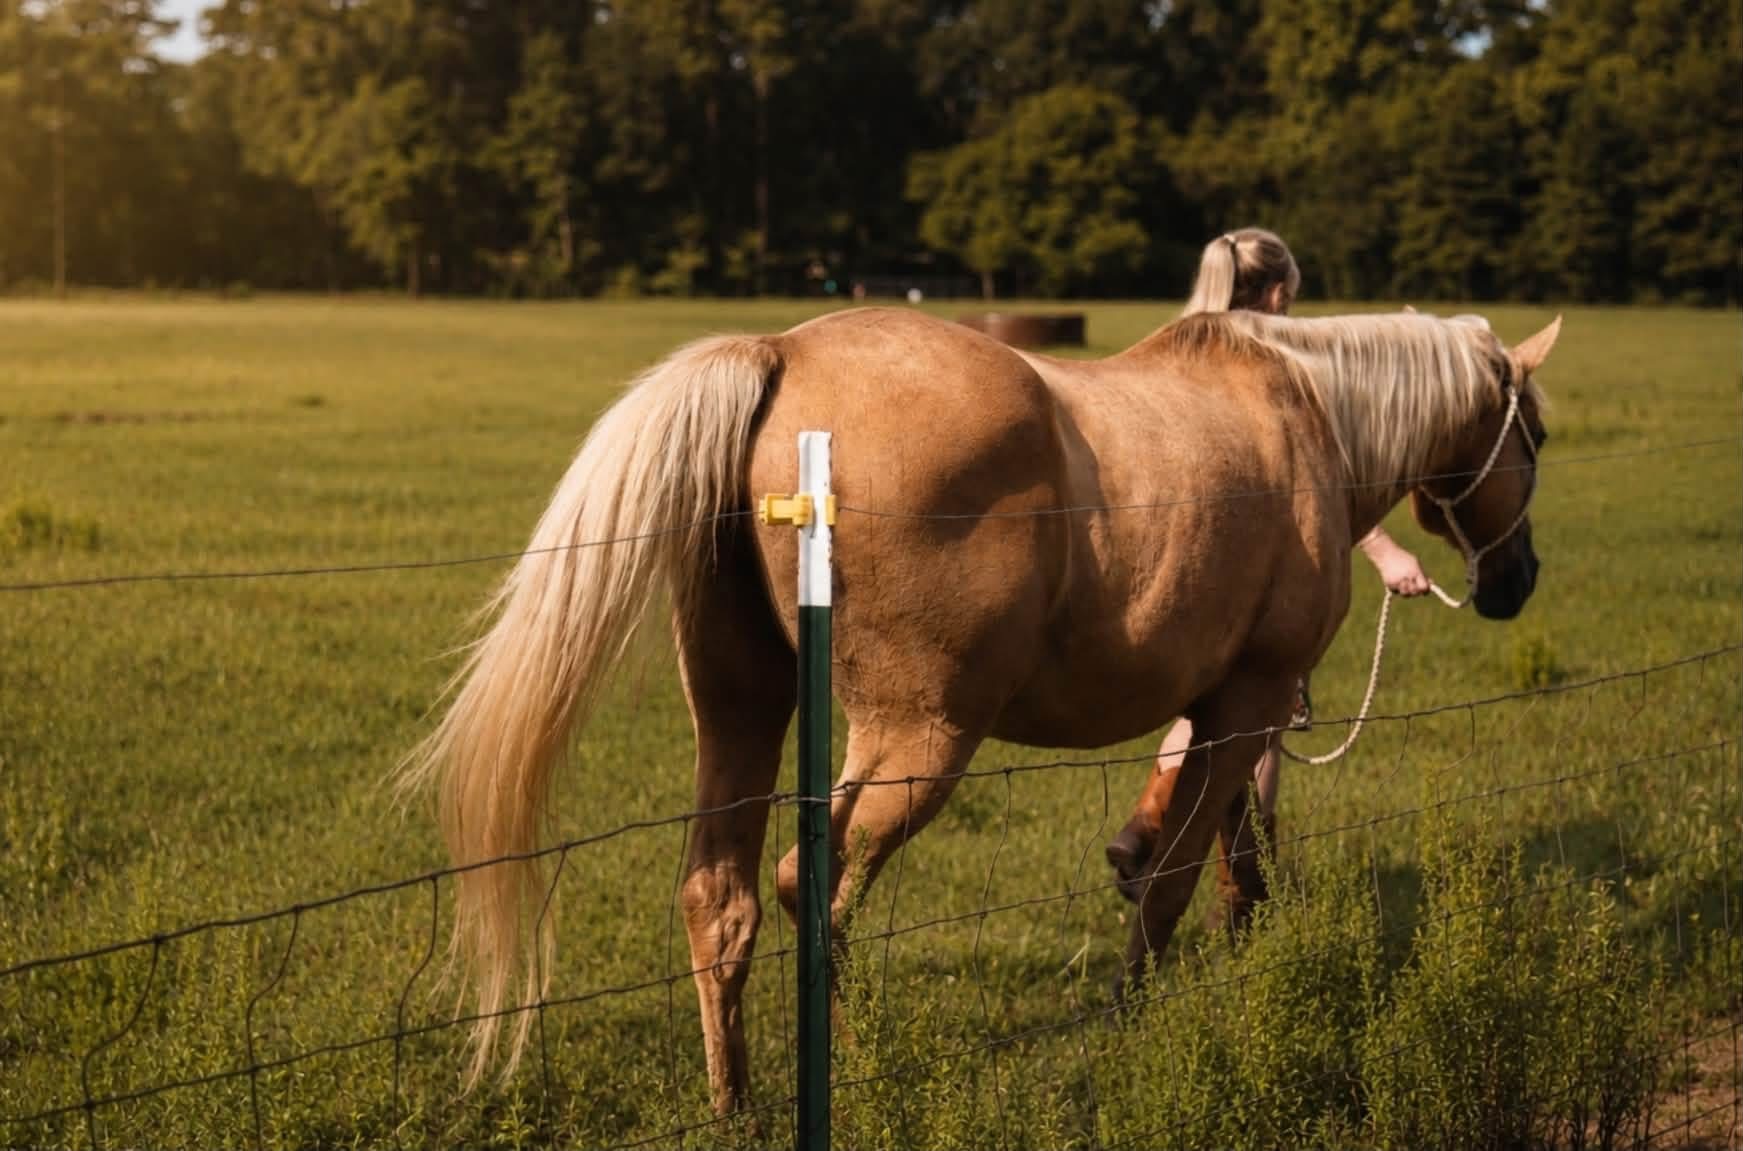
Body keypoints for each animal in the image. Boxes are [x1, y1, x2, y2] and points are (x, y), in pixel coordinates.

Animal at [401, 304, 1559, 1115]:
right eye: (1536, 435)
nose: (1517, 580)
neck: (1306, 416)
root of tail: (779, 353)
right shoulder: (1254, 697)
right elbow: (1176, 877)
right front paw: (1137, 1013)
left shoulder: (1227, 704)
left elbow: (1231, 857)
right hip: (922, 738)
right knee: (812, 880)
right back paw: (858, 1053)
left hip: (739, 709)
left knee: (720, 895)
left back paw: (734, 1099)